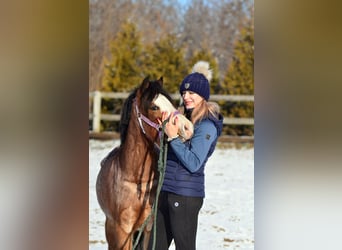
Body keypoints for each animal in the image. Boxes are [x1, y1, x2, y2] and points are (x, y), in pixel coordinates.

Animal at [95, 76, 194, 250]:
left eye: (171, 102)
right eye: (154, 106)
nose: (188, 128)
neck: (136, 181)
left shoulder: (147, 228)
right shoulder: (122, 232)